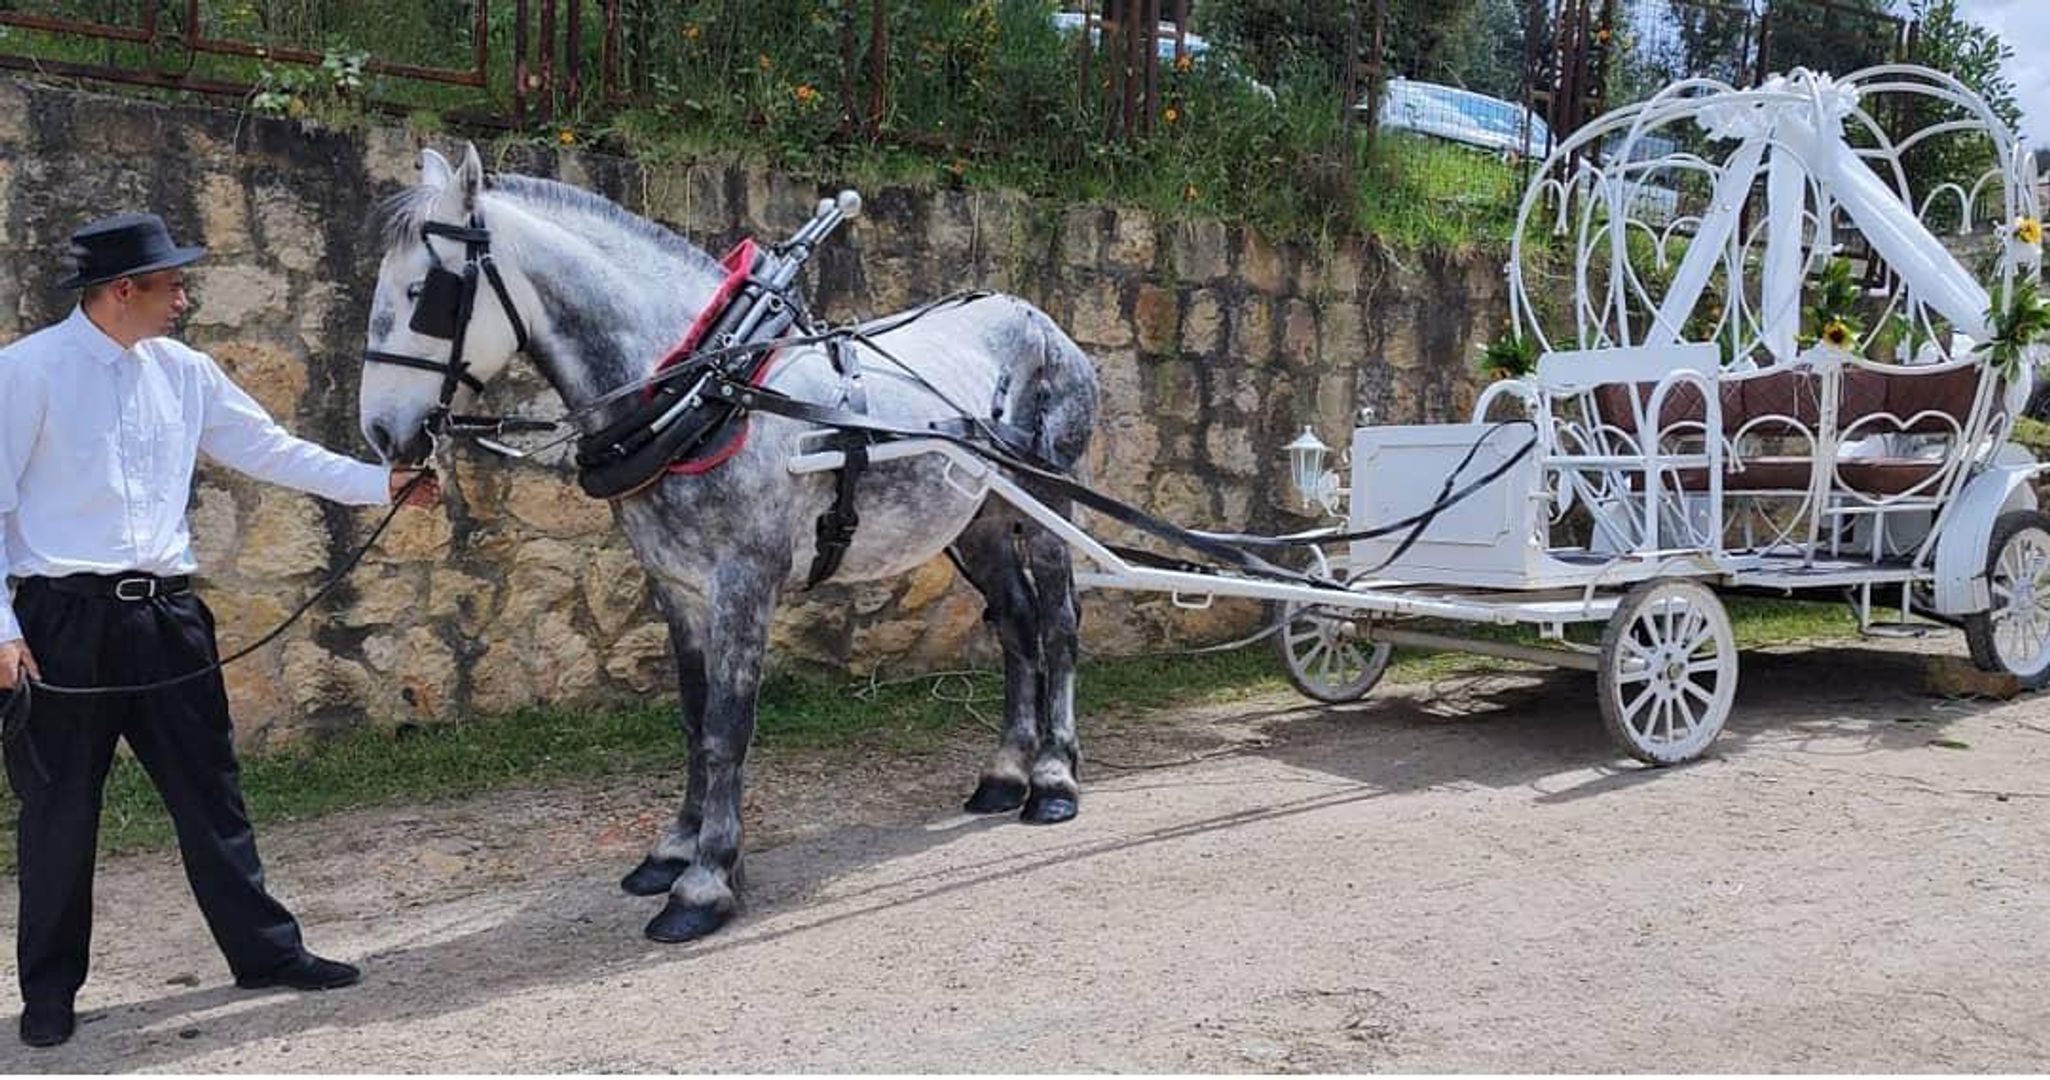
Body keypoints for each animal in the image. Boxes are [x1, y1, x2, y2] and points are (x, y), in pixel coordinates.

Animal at [356, 144, 1100, 942]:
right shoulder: (676, 583)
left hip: (1052, 496)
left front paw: (707, 880)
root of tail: (1039, 320)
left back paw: (1053, 778)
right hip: (980, 519)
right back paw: (1003, 774)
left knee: (1058, 625)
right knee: (1016, 625)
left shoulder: (745, 581)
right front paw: (674, 850)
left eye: (425, 292)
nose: (381, 433)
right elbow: (693, 716)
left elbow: (727, 725)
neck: (710, 388)